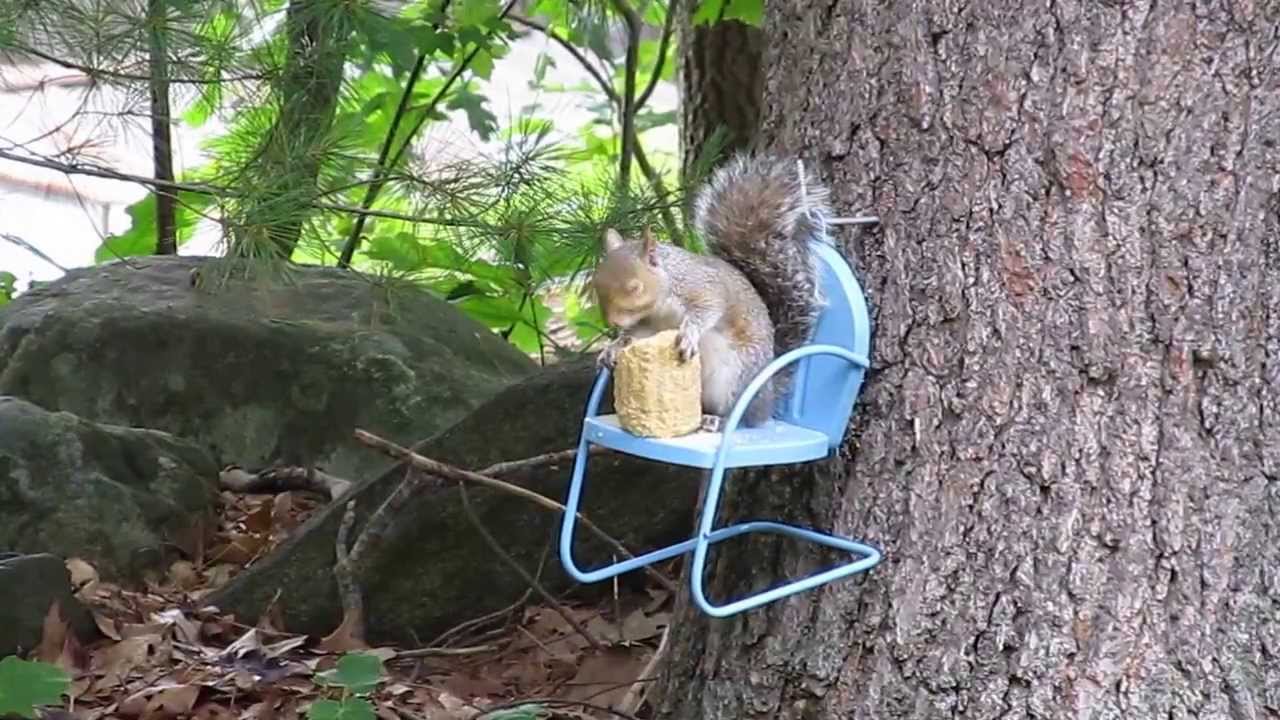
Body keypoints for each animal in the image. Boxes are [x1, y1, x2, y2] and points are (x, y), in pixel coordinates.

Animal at [593, 154, 831, 430]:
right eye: (595, 283)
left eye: (634, 287)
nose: (613, 322)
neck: (663, 299)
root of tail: (768, 395)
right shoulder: (649, 323)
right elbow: (639, 334)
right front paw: (614, 346)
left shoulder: (703, 287)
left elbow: (707, 310)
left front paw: (689, 334)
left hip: (735, 379)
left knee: (742, 417)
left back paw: (719, 421)